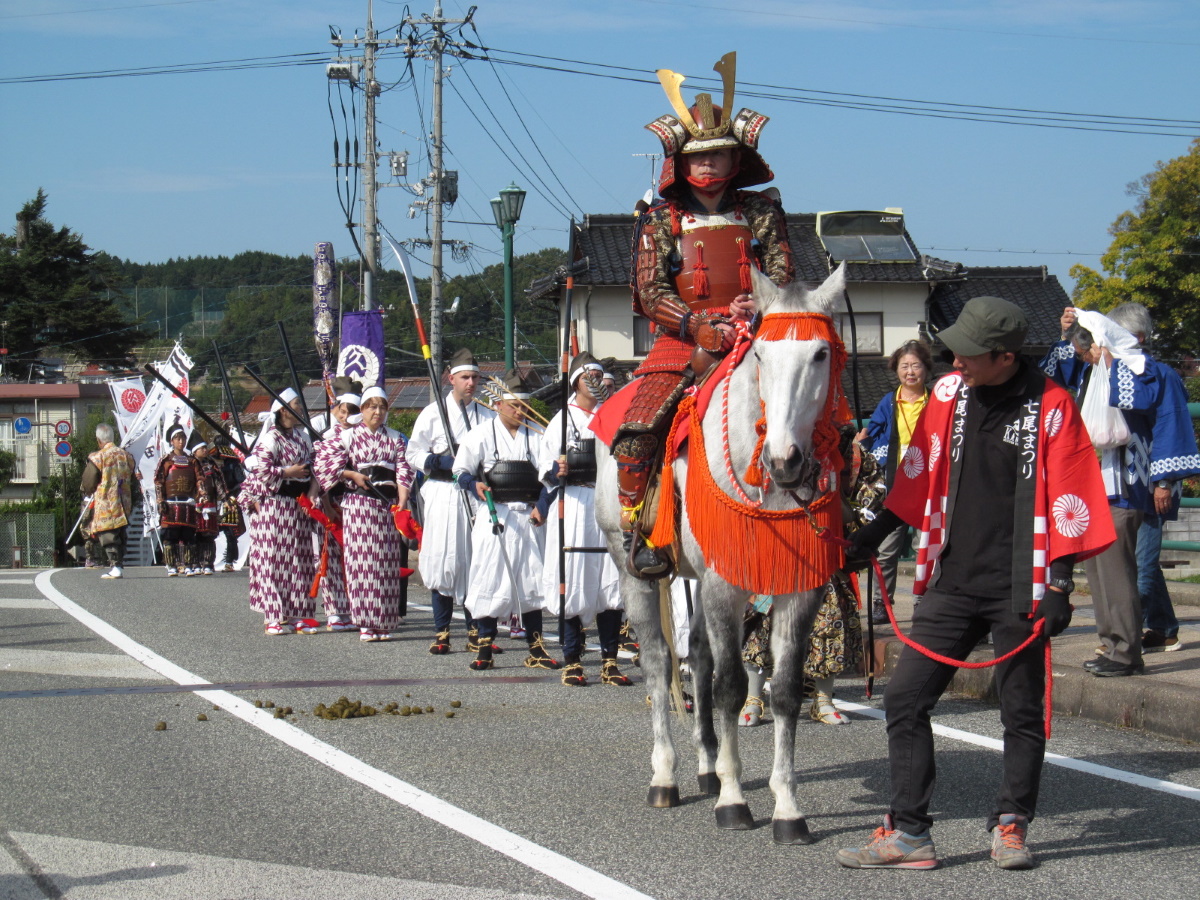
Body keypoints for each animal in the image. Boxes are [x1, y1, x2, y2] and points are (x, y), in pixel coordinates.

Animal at [595, 260, 849, 844]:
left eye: (821, 354)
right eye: (760, 356)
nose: (785, 459)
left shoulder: (799, 588)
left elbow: (784, 690)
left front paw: (787, 809)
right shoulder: (723, 583)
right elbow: (733, 687)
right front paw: (735, 802)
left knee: (699, 658)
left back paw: (708, 766)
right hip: (632, 567)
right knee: (659, 661)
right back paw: (666, 777)